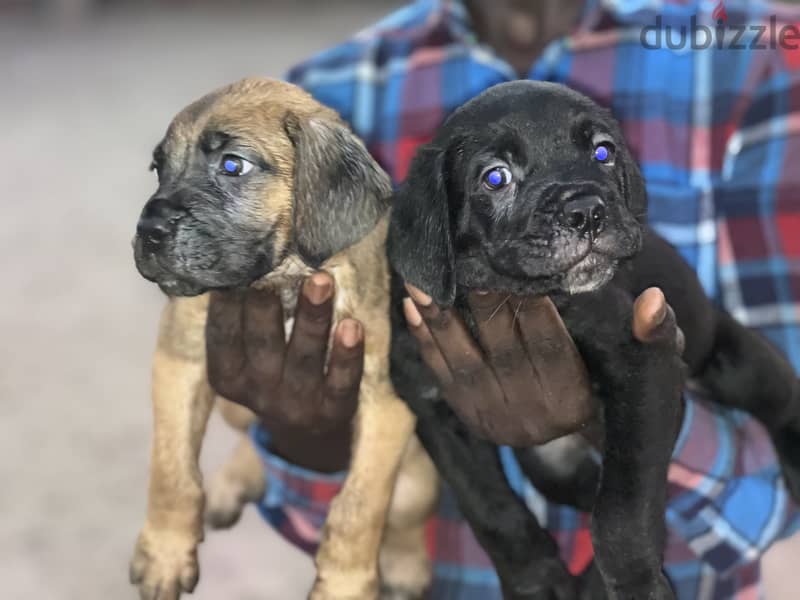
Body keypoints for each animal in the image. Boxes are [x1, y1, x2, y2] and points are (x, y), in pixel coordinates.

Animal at [388, 81, 800, 600]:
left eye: (602, 152)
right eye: (495, 177)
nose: (585, 211)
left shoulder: (641, 363)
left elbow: (621, 511)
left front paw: (638, 586)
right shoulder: (433, 404)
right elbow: (489, 508)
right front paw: (536, 582)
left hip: (735, 365)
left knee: (783, 400)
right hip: (553, 470)